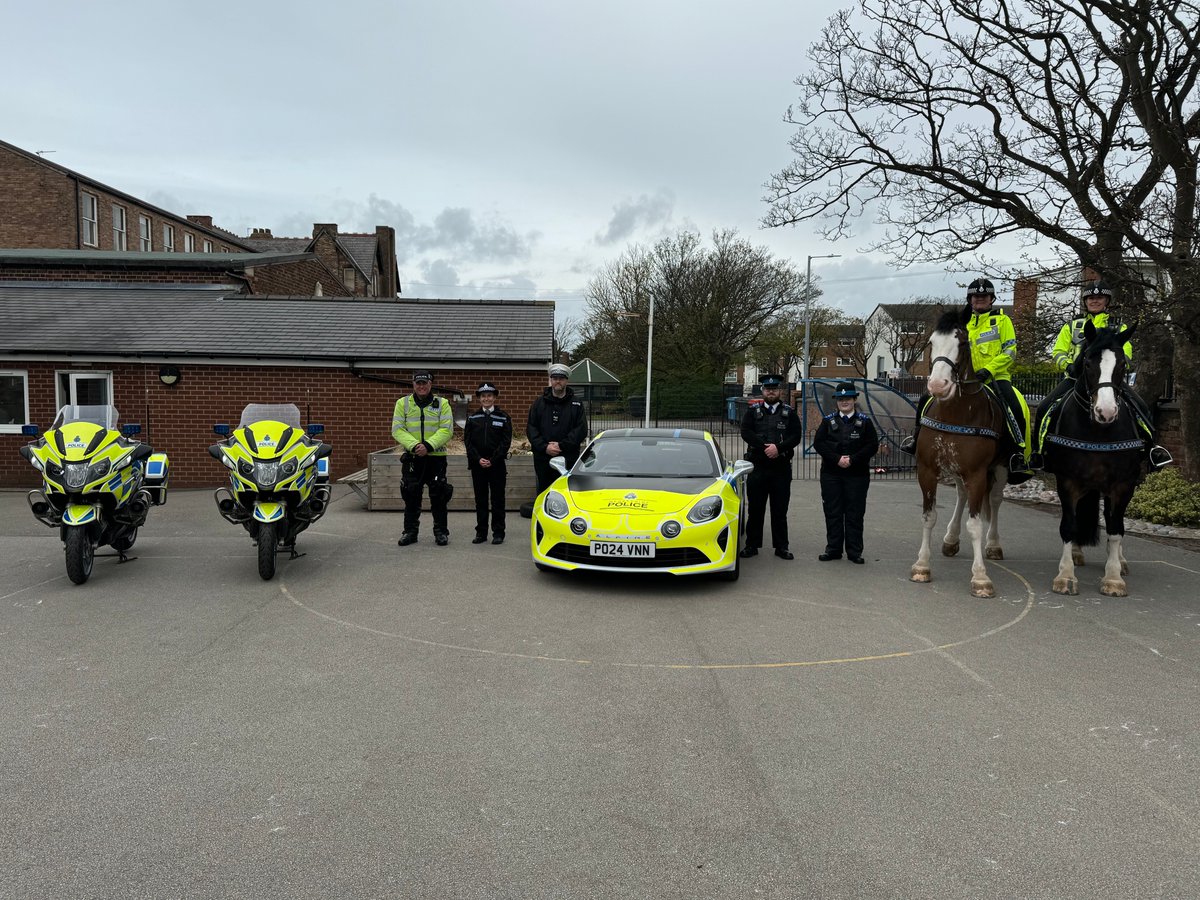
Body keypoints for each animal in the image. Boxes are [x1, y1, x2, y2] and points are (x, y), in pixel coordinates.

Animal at [907, 309, 1012, 600]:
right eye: (931, 342)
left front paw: (980, 577)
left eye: (963, 343)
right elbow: (929, 516)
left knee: (995, 502)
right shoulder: (928, 470)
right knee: (962, 496)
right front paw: (922, 565)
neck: (955, 413)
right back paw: (951, 539)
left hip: (999, 469)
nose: (937, 385)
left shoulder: (977, 474)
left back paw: (993, 544)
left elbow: (975, 525)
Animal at [1041, 324, 1142, 600]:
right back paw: (1076, 553)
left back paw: (1120, 561)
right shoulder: (1067, 481)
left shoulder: (1123, 485)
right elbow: (1068, 525)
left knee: (1111, 519)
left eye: (1123, 365)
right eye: (1087, 363)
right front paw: (1065, 576)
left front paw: (1113, 578)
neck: (1097, 432)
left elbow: (1116, 528)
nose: (1105, 412)